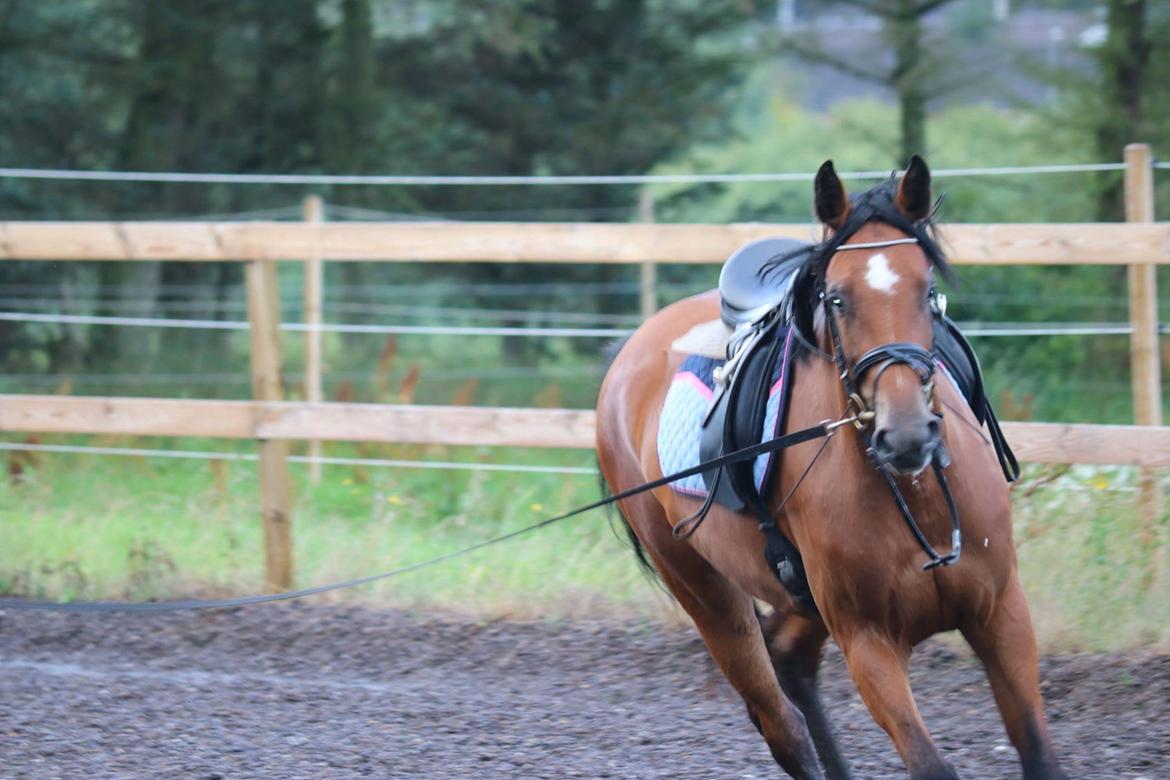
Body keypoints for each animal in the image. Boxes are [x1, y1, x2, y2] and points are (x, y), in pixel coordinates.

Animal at [599, 155, 1067, 776]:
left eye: (928, 291)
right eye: (838, 299)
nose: (906, 434)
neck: (913, 496)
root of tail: (625, 361)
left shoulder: (1002, 614)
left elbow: (1038, 750)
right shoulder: (868, 642)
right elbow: (929, 764)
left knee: (790, 660)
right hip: (701, 586)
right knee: (780, 720)